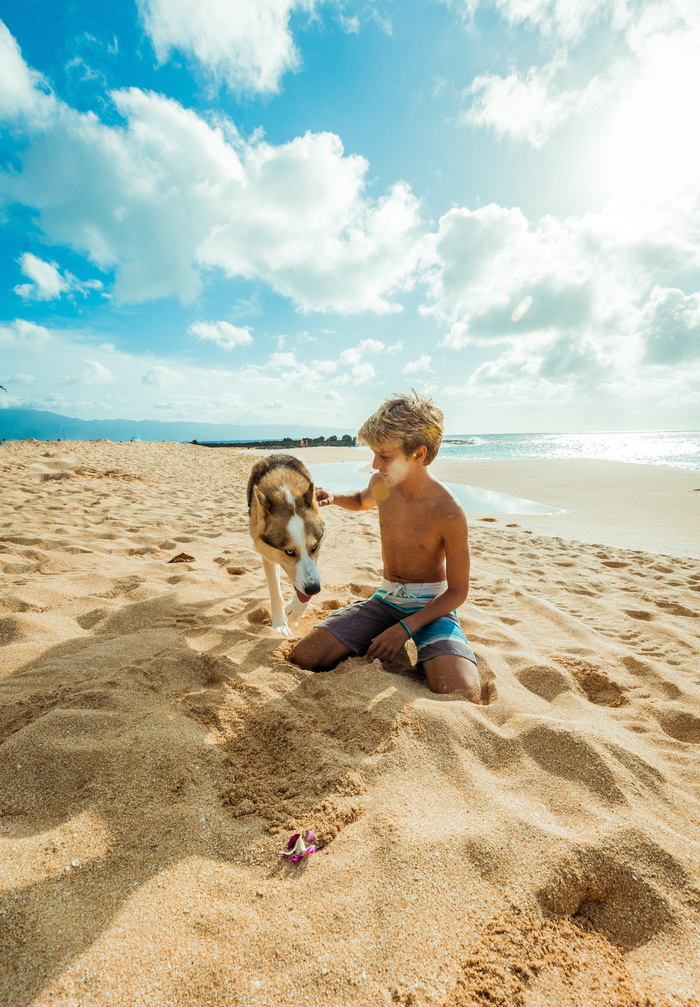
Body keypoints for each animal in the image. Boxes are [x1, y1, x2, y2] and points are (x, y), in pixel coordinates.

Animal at [246, 457, 326, 636]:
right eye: (289, 551)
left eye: (314, 547)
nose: (314, 589)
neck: (285, 492)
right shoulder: (268, 554)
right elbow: (276, 593)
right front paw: (280, 624)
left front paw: (297, 610)